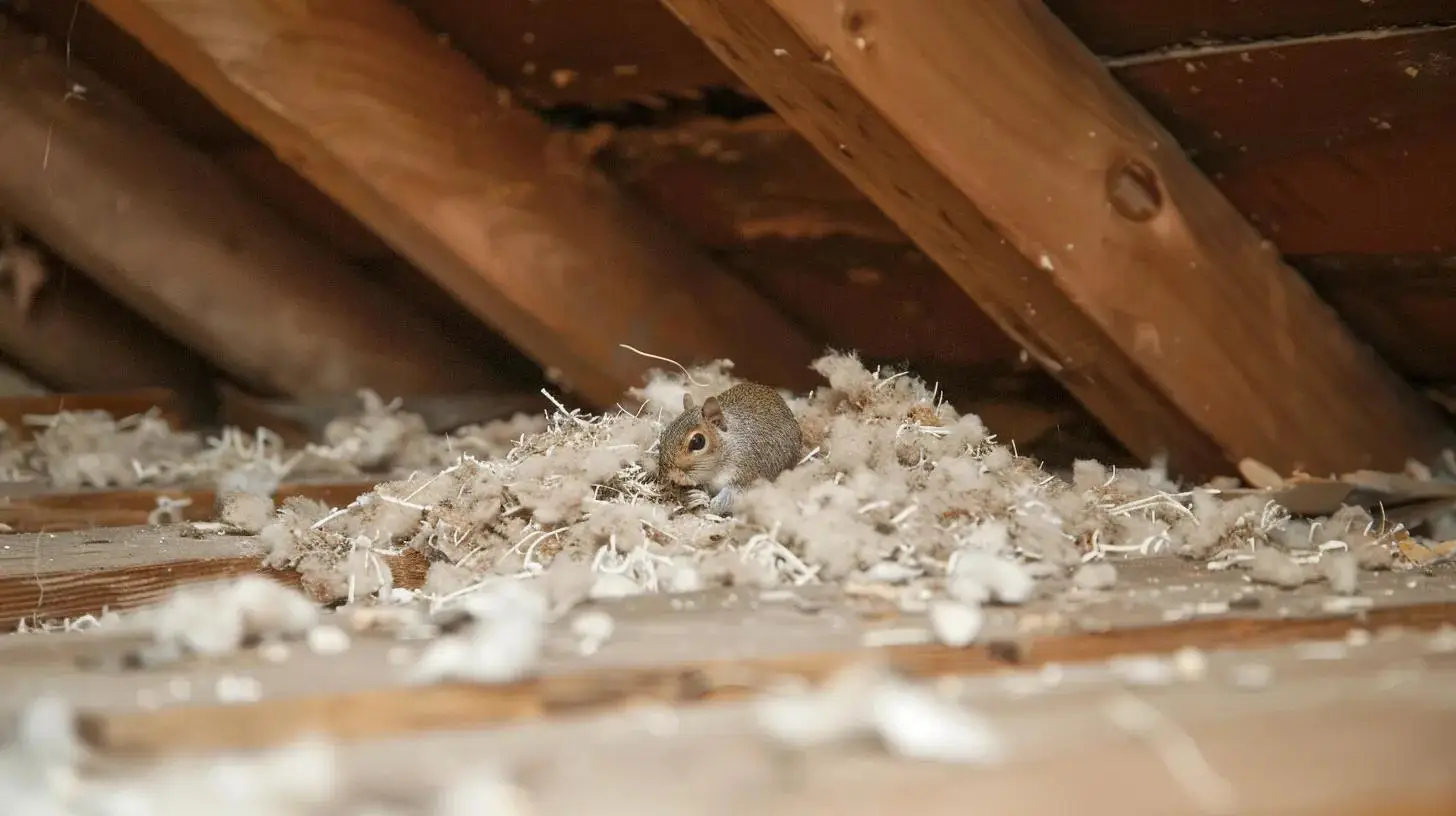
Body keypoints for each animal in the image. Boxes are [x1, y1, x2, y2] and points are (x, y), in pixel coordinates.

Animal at [656, 381, 802, 515]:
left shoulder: (748, 471)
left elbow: (732, 498)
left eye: (697, 442)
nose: (671, 476)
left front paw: (704, 502)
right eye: (664, 433)